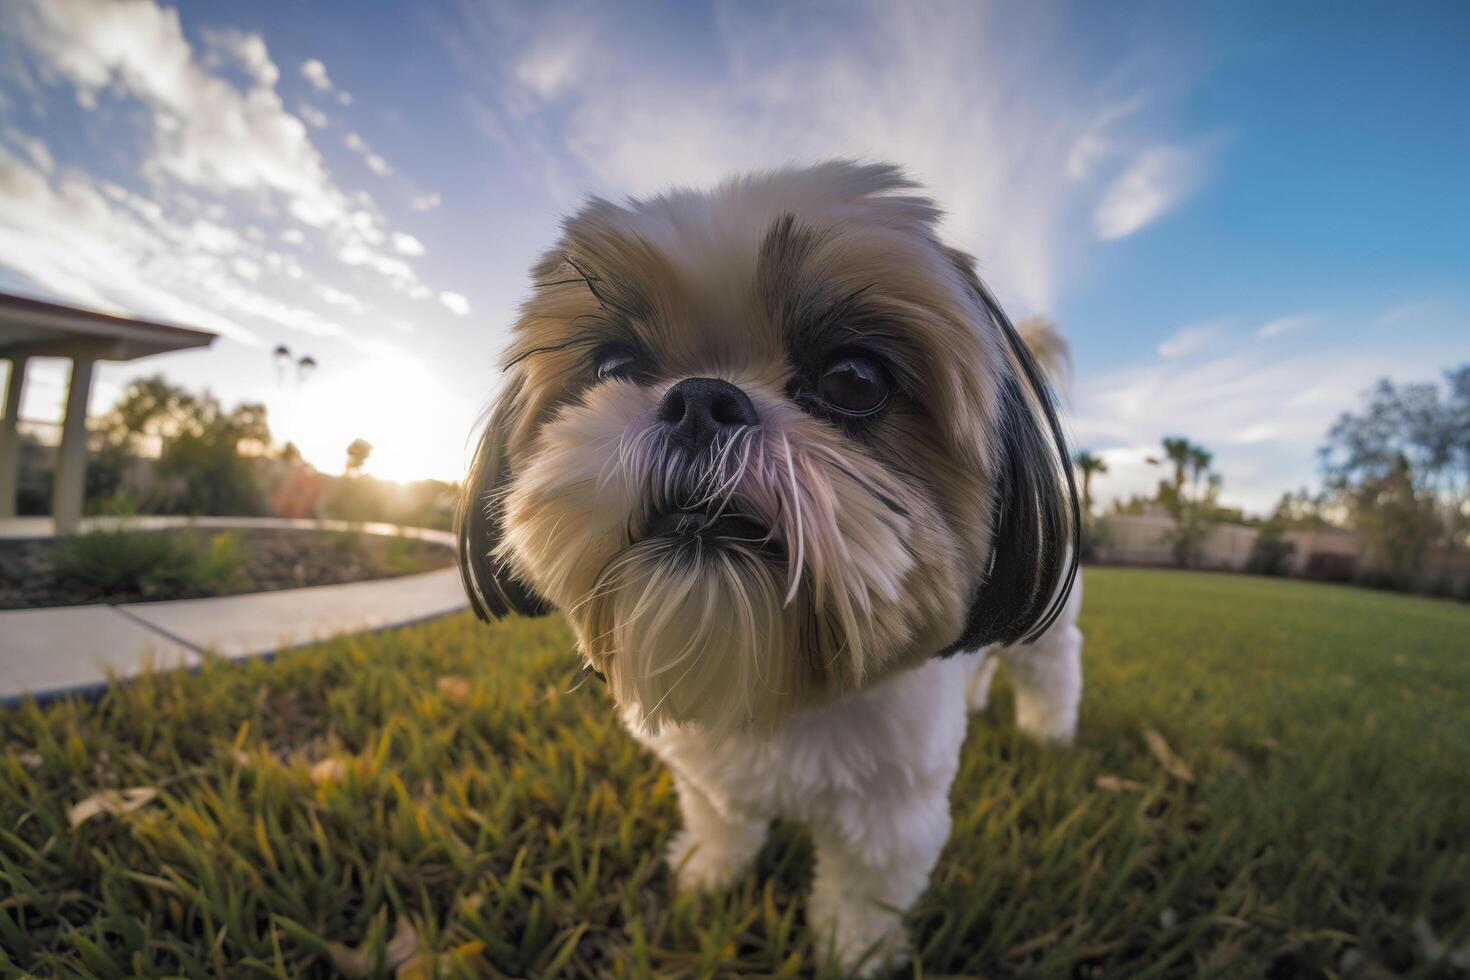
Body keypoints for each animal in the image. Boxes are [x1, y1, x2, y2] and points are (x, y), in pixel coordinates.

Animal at [458, 160, 1093, 975]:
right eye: (615, 365)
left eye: (855, 379)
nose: (701, 398)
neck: (776, 678)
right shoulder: (704, 774)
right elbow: (723, 823)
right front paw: (709, 873)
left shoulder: (891, 820)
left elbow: (862, 896)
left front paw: (852, 954)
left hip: (1051, 631)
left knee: (1051, 669)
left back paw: (1049, 735)